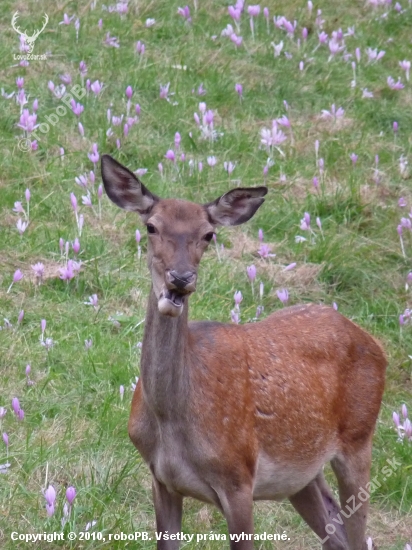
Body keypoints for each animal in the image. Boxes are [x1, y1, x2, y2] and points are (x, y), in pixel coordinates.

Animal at [101, 154, 388, 550]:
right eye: (151, 227)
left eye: (208, 234)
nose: (180, 279)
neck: (171, 420)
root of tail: (374, 343)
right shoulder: (161, 479)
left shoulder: (238, 476)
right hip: (302, 473)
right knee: (335, 532)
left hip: (359, 437)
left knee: (358, 534)